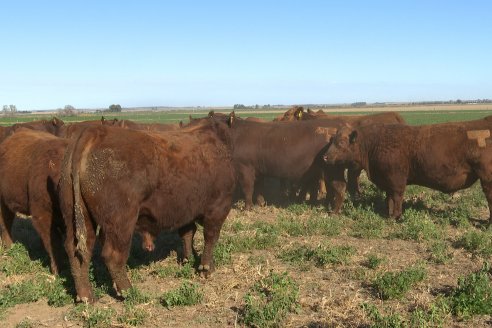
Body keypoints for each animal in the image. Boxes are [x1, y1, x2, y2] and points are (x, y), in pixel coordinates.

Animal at [58, 118, 235, 302]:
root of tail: (94, 132)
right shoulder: (219, 207)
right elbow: (210, 237)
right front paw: (206, 268)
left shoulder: (186, 210)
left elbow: (188, 234)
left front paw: (188, 259)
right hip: (121, 222)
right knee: (113, 255)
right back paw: (127, 291)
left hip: (77, 216)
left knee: (78, 251)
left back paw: (86, 296)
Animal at [324, 117, 492, 223]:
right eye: (332, 140)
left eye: (341, 143)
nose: (325, 157)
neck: (373, 143)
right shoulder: (387, 181)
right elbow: (389, 198)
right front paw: (389, 214)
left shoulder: (396, 180)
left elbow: (397, 197)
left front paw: (395, 216)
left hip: (487, 179)